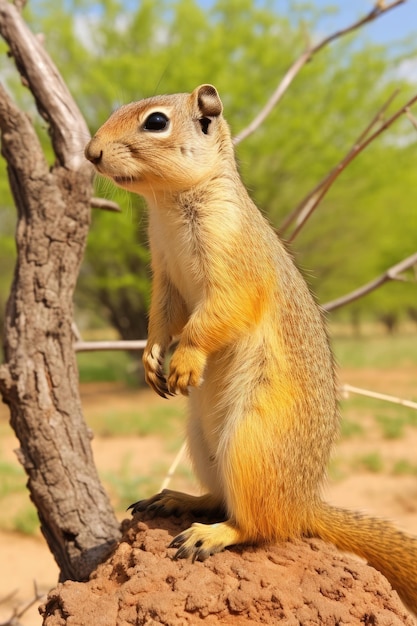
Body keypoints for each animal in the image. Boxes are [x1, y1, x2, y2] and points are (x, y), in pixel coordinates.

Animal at [85, 81, 416, 608]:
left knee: (261, 525)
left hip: (250, 446)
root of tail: (305, 504)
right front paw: (151, 357)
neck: (168, 205)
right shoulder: (164, 276)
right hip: (203, 444)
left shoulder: (233, 271)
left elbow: (211, 319)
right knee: (220, 498)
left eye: (155, 122)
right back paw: (177, 499)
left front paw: (184, 361)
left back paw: (212, 534)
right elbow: (161, 318)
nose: (90, 152)